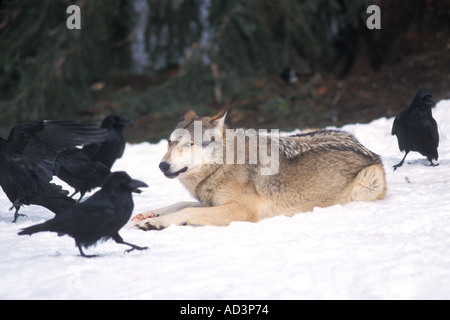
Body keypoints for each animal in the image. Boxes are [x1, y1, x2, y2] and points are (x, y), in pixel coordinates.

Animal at [134, 110, 386, 230]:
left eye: (189, 144)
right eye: (170, 143)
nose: (162, 165)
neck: (223, 165)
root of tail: (367, 149)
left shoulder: (242, 210)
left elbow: (187, 210)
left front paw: (156, 223)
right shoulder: (213, 202)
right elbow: (180, 204)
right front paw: (149, 214)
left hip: (369, 182)